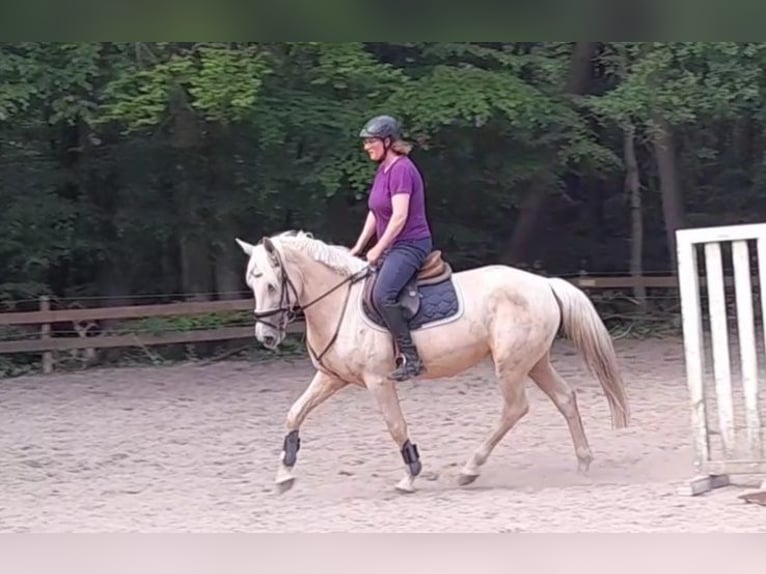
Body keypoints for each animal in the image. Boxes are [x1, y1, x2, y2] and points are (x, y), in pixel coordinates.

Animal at [237, 230, 632, 496]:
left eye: (271, 285)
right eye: (251, 285)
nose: (266, 337)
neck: (340, 304)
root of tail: (544, 284)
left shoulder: (379, 380)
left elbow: (396, 426)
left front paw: (410, 475)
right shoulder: (330, 377)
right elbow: (294, 413)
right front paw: (284, 475)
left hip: (511, 365)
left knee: (514, 409)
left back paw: (470, 468)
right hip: (534, 362)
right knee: (565, 398)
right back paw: (583, 461)